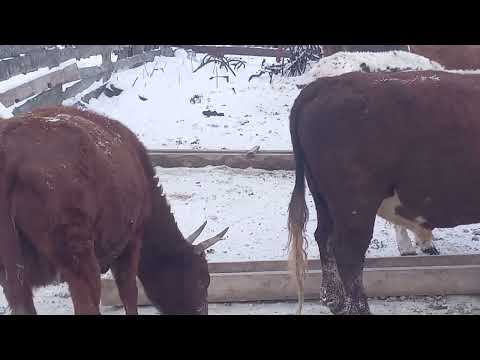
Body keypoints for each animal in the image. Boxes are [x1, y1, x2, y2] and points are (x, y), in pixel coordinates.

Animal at [0, 106, 228, 316]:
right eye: (201, 281)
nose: (200, 312)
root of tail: (11, 155)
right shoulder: (132, 240)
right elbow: (129, 292)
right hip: (79, 258)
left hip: (14, 273)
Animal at [286, 71, 480, 316]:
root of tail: (325, 84)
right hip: (356, 205)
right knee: (348, 252)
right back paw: (358, 309)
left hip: (323, 198)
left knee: (324, 238)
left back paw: (334, 301)